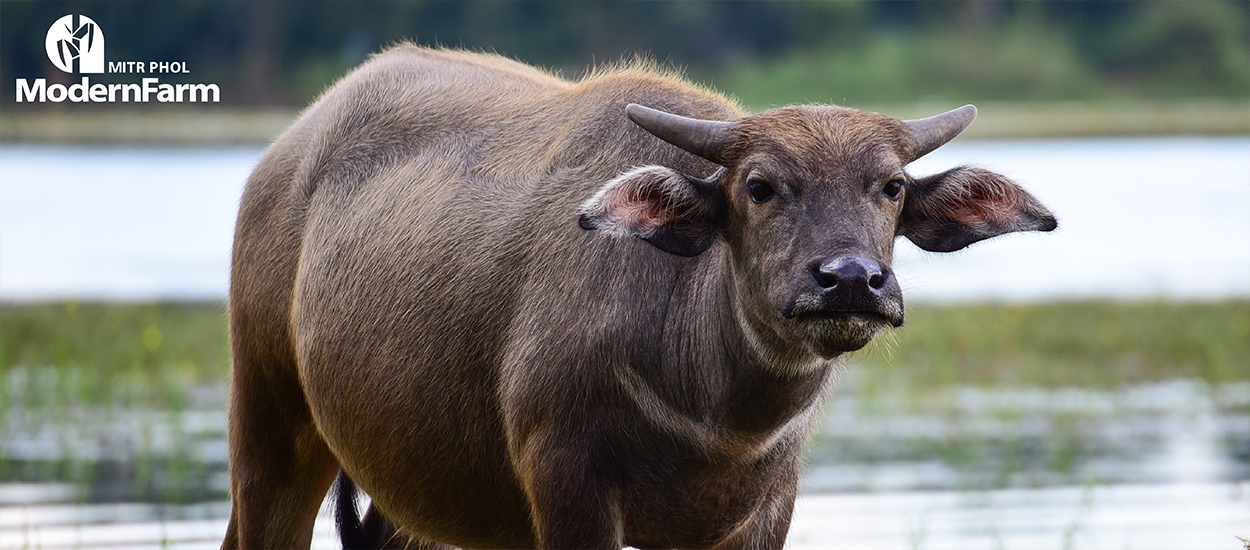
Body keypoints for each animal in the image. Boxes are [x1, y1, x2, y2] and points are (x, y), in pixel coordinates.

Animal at [225, 46, 1055, 550]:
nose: (850, 279)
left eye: (889, 187)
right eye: (759, 185)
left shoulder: (763, 510)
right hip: (270, 416)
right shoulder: (567, 483)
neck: (715, 421)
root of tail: (280, 157)